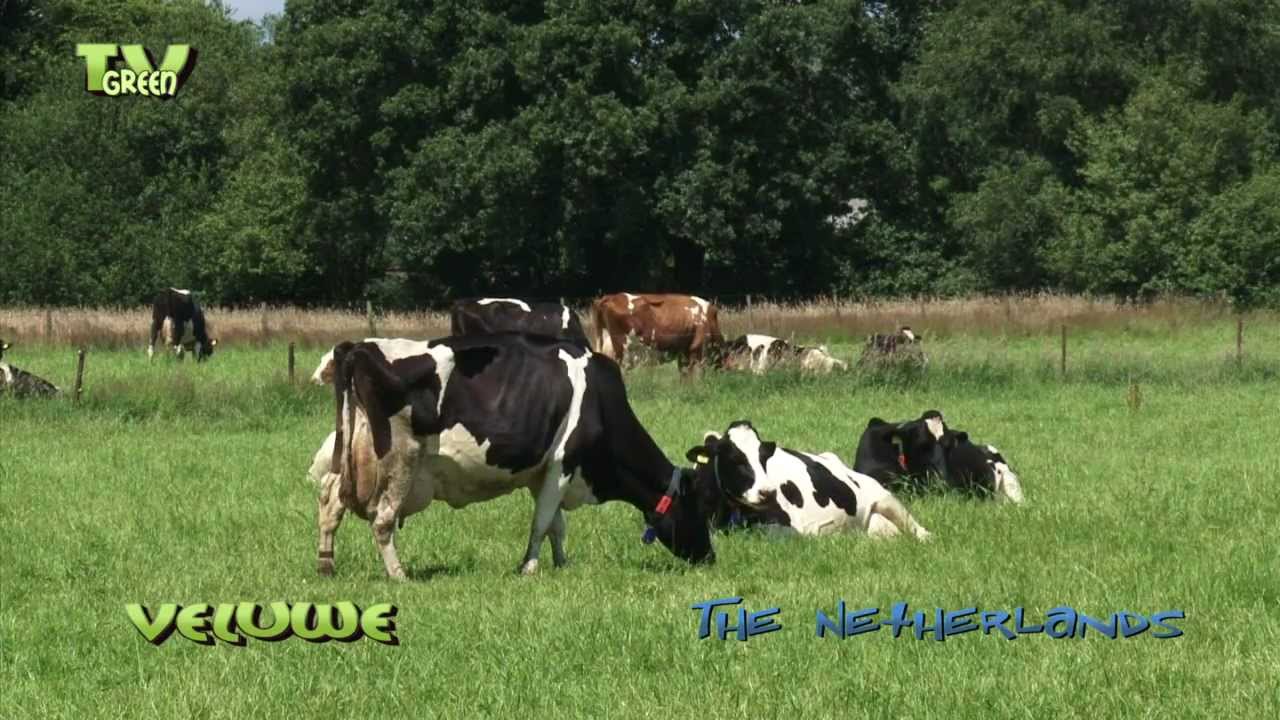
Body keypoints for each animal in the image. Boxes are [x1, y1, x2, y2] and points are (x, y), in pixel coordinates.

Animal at [313, 333, 715, 579]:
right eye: (700, 510)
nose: (710, 558)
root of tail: (358, 346)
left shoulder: (544, 471)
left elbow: (556, 524)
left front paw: (561, 562)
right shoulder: (563, 462)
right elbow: (542, 522)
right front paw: (529, 567)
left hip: (351, 453)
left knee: (330, 501)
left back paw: (326, 565)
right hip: (399, 458)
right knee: (382, 520)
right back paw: (399, 575)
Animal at [591, 293, 723, 374]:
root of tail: (610, 297)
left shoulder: (683, 352)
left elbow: (684, 373)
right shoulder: (698, 348)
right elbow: (697, 374)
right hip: (623, 348)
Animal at [683, 420, 931, 539]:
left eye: (764, 457)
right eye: (735, 458)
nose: (768, 492)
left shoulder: (793, 528)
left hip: (885, 499)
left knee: (918, 529)